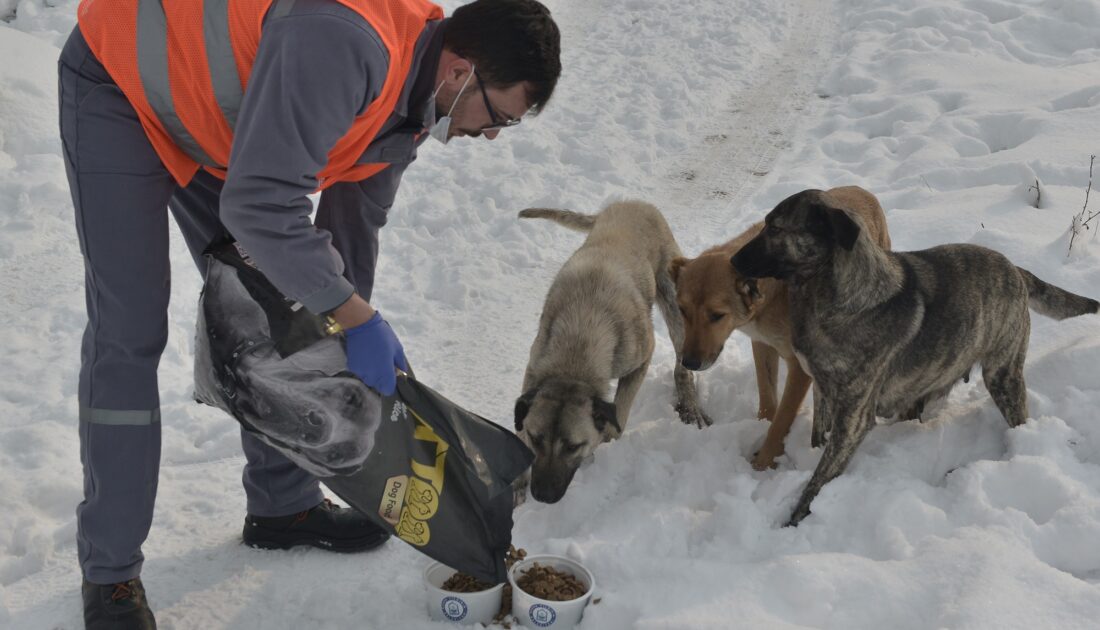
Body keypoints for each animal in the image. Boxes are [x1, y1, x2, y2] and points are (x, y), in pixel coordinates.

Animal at [668, 184, 893, 468]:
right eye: (682, 310)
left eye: (717, 316)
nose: (689, 363)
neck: (773, 295)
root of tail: (861, 190)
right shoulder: (762, 343)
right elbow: (767, 397)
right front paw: (761, 427)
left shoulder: (799, 368)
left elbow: (782, 419)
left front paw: (763, 463)